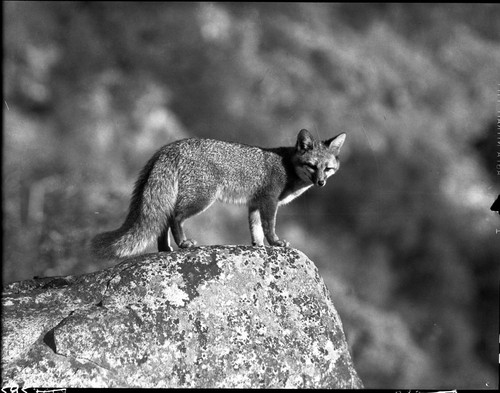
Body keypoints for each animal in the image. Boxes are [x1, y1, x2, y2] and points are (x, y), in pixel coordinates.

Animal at [91, 128, 344, 258]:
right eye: (312, 166)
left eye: (327, 169)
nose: (321, 182)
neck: (288, 166)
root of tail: (168, 148)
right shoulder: (269, 202)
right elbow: (269, 227)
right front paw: (276, 243)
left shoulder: (254, 204)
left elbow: (255, 230)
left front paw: (259, 247)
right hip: (202, 199)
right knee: (174, 218)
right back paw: (184, 244)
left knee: (162, 222)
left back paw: (165, 249)